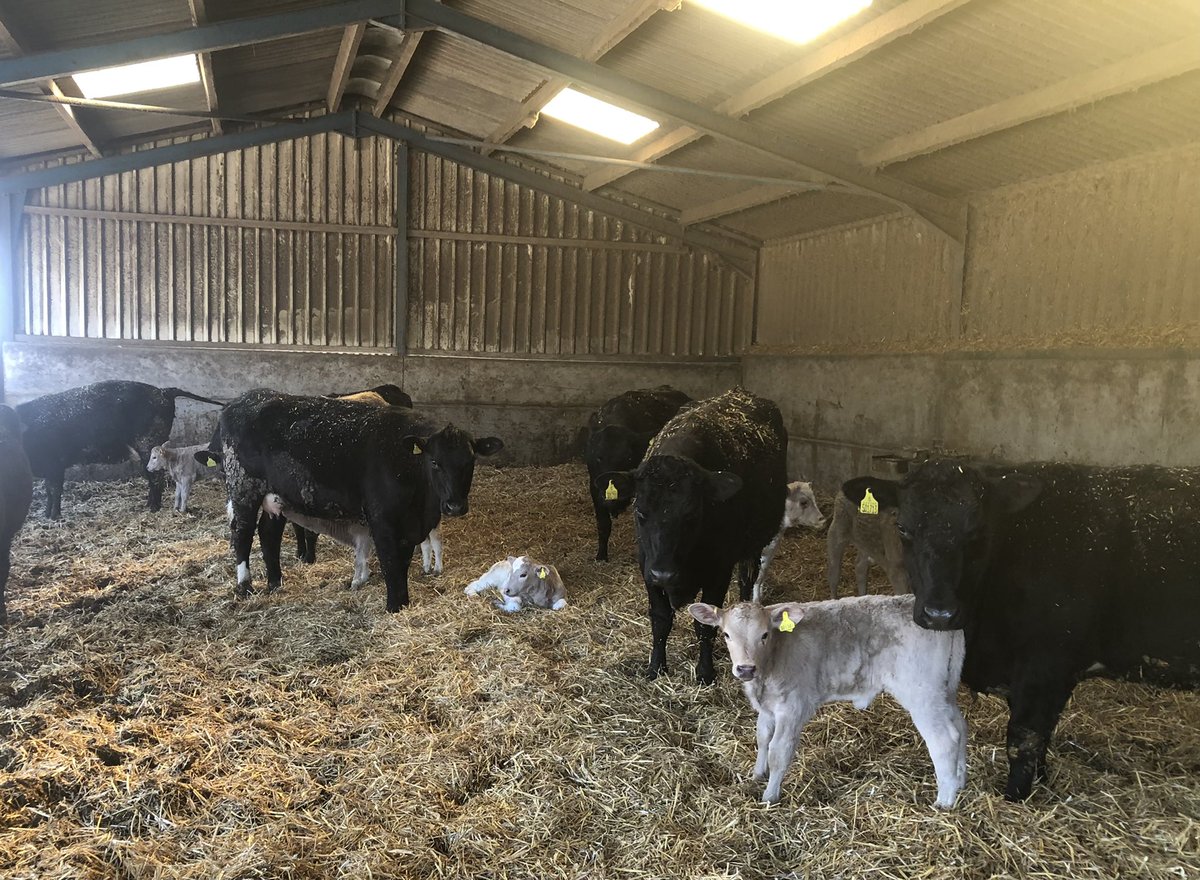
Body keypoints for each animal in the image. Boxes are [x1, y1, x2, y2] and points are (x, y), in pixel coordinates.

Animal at [15, 380, 224, 519]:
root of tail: (163, 391)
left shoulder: (55, 464)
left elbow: (54, 489)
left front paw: (54, 516)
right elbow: (49, 490)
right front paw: (46, 514)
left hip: (148, 444)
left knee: (155, 477)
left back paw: (154, 507)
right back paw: (149, 504)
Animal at [217, 389, 501, 611]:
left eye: (470, 461)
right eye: (434, 462)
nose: (455, 506)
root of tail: (244, 399)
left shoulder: (409, 526)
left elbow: (403, 562)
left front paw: (403, 602)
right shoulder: (382, 520)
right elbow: (390, 563)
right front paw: (394, 606)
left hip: (276, 497)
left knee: (268, 534)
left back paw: (275, 582)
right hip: (243, 488)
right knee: (243, 534)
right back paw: (245, 585)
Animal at [599, 387, 787, 684]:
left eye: (692, 514)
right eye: (640, 511)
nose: (664, 573)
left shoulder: (718, 572)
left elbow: (705, 625)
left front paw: (705, 672)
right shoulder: (647, 569)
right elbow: (660, 620)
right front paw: (656, 667)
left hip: (752, 546)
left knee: (747, 581)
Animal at [689, 596, 967, 807]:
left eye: (765, 634)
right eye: (726, 635)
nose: (746, 669)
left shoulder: (793, 706)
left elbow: (779, 751)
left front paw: (769, 795)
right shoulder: (768, 708)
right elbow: (762, 738)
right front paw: (757, 775)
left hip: (922, 694)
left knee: (945, 740)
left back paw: (944, 800)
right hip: (943, 692)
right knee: (961, 728)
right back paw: (960, 780)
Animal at [846, 460, 1200, 801]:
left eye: (977, 530)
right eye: (902, 527)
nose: (939, 615)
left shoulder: (1047, 664)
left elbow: (1024, 739)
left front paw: (1015, 798)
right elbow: (1041, 737)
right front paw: (1041, 782)